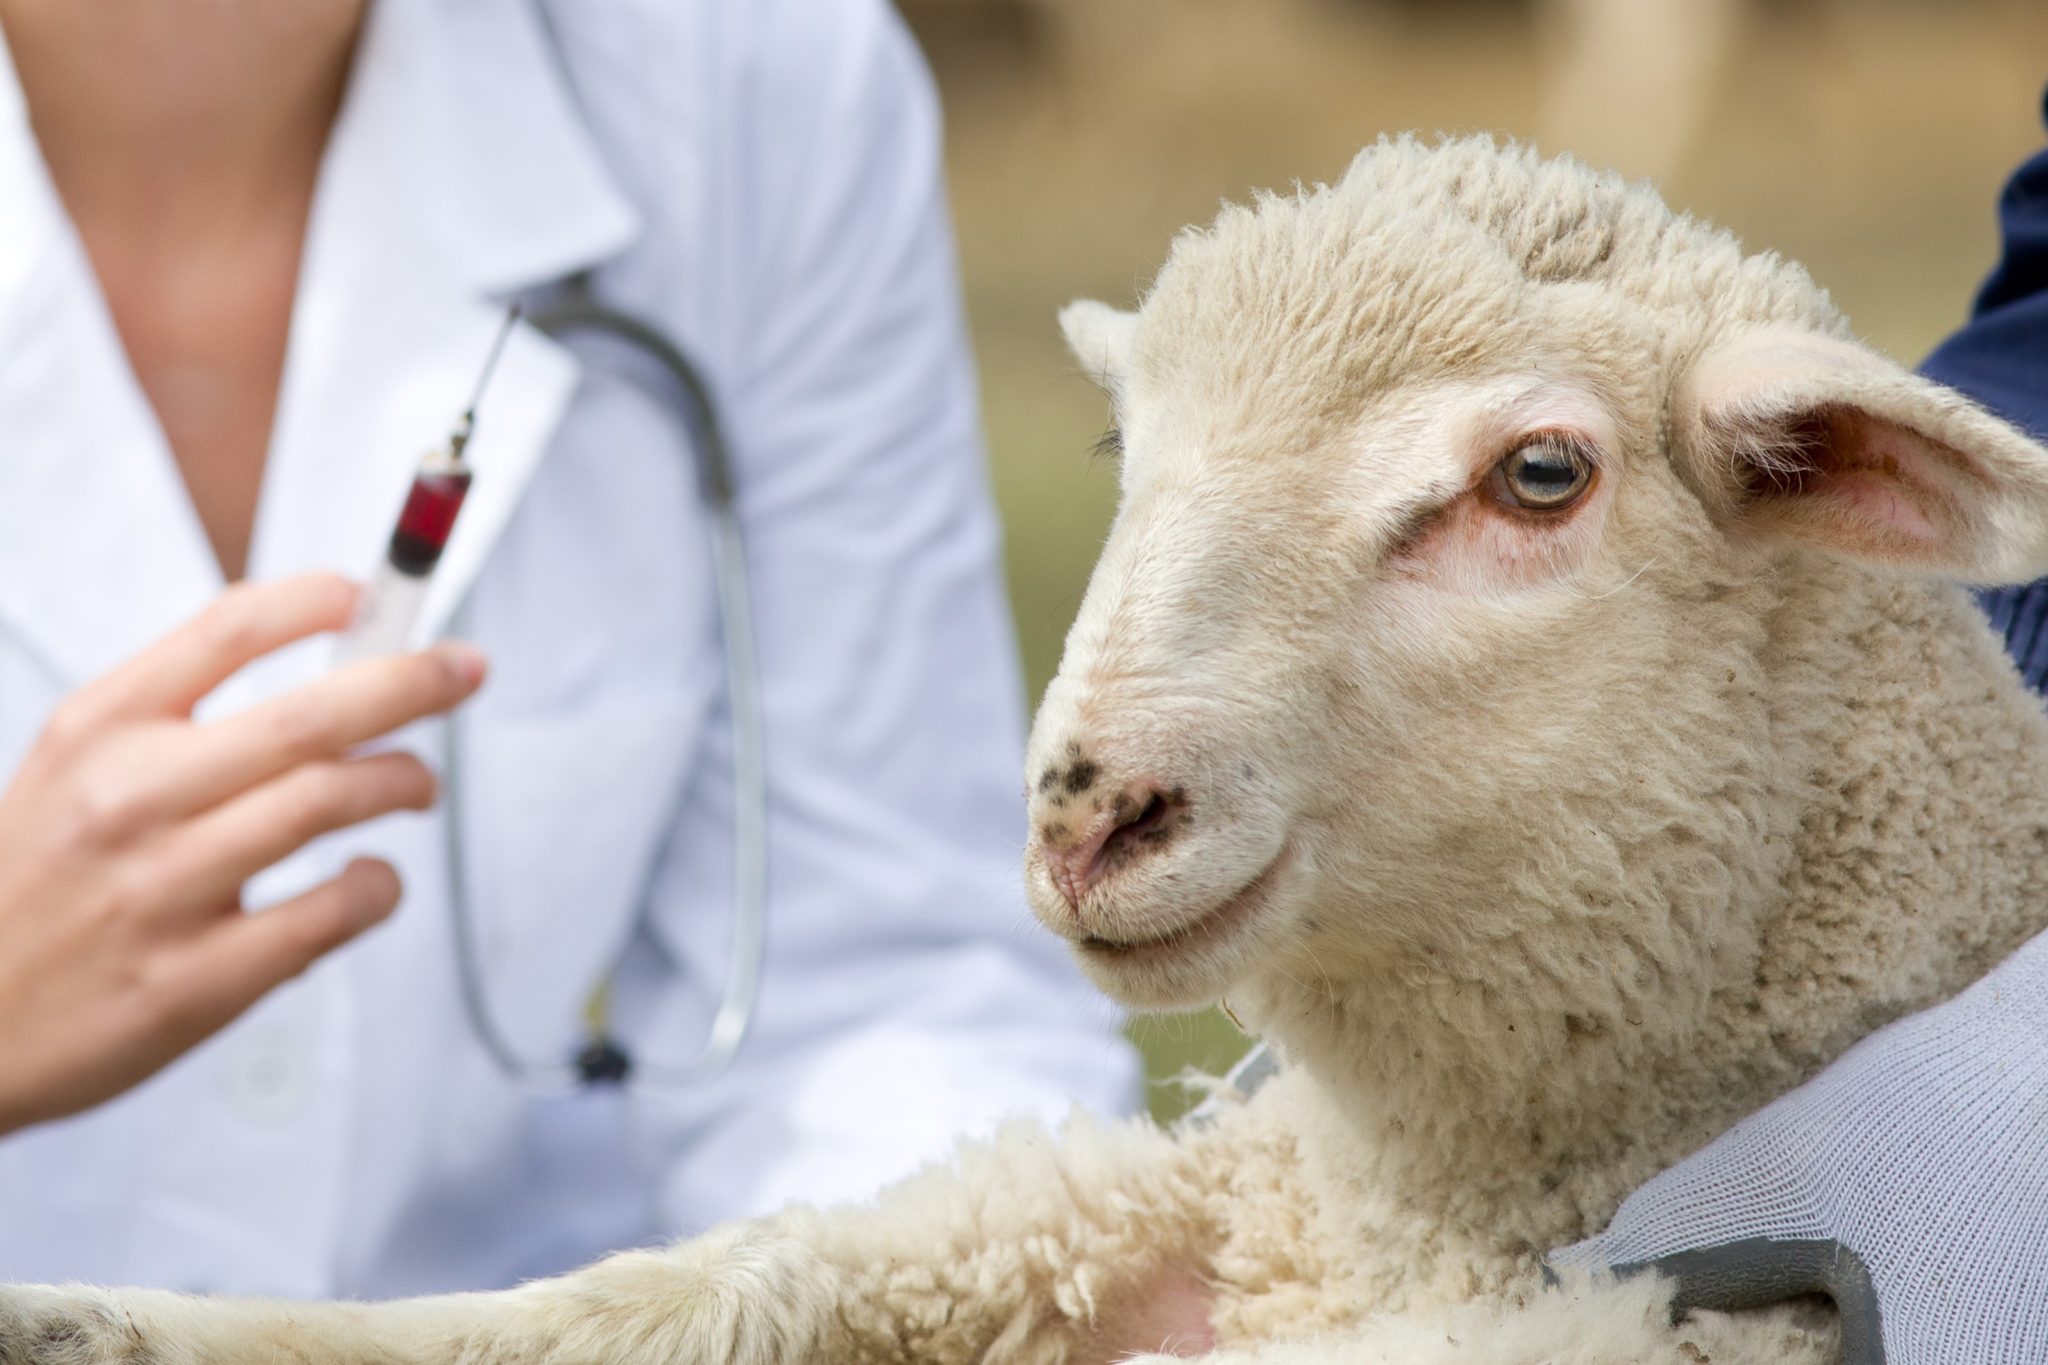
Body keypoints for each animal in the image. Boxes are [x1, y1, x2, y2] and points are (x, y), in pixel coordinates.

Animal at [4, 130, 2048, 1365]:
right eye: (1123, 446)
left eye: (1540, 477)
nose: (1089, 816)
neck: (1405, 1217)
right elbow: (695, 1286)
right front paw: (94, 1315)